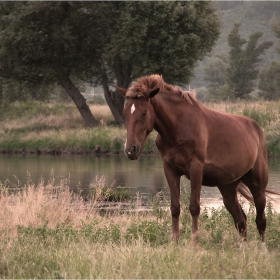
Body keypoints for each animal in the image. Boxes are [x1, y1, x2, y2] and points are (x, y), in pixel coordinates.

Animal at [116, 75, 278, 247]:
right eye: (125, 113)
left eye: (144, 112)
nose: (130, 150)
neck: (178, 128)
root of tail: (257, 128)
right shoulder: (170, 169)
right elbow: (175, 207)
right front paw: (175, 241)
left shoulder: (195, 168)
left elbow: (194, 206)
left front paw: (195, 241)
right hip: (228, 188)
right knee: (241, 219)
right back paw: (243, 248)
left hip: (257, 183)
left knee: (260, 218)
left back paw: (262, 248)